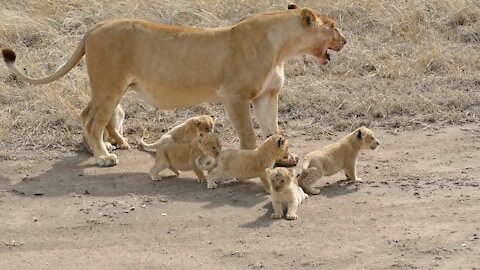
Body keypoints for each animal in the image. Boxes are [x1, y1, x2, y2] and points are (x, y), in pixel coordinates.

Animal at [0, 3, 344, 167]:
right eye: (333, 26)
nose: (345, 40)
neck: (283, 47)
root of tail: (95, 27)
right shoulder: (235, 95)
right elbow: (249, 134)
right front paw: (253, 158)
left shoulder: (266, 96)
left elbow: (273, 128)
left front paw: (283, 156)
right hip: (109, 84)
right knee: (93, 121)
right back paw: (102, 156)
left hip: (111, 86)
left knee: (88, 114)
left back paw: (115, 144)